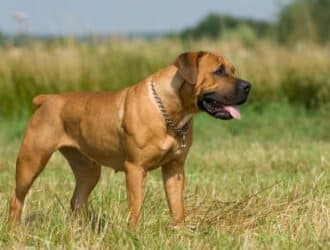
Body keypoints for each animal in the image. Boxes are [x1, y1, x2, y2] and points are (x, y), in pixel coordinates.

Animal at [8, 50, 250, 227]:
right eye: (219, 71)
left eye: (232, 70)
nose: (248, 86)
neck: (170, 110)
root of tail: (47, 99)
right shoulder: (135, 168)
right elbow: (136, 207)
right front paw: (134, 233)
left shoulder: (175, 169)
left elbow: (177, 206)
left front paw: (181, 232)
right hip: (31, 160)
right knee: (17, 198)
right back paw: (14, 230)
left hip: (88, 170)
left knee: (77, 199)